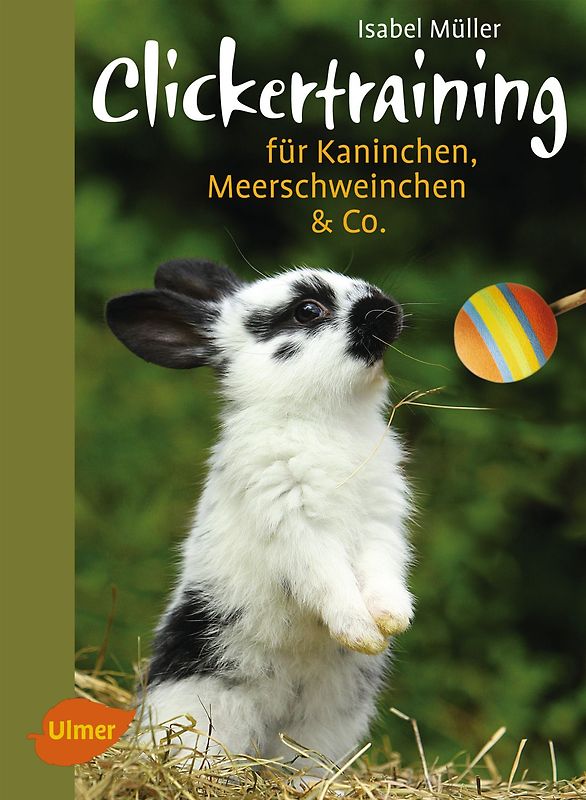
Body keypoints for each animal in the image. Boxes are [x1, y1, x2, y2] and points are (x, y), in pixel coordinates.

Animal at [106, 258, 413, 772]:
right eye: (308, 310)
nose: (388, 308)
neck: (325, 421)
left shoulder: (380, 523)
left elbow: (383, 572)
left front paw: (390, 622)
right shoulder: (294, 526)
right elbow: (328, 579)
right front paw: (359, 630)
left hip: (327, 721)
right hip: (207, 706)